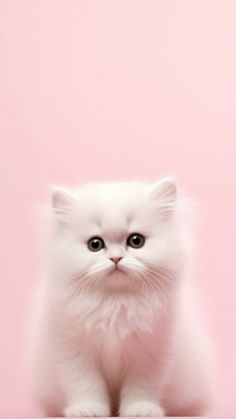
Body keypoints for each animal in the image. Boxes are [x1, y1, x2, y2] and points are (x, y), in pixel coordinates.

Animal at [30, 177, 213, 416]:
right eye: (95, 244)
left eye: (136, 241)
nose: (116, 258)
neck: (116, 302)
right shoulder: (73, 349)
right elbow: (84, 384)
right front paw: (88, 410)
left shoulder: (151, 351)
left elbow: (142, 387)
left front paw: (141, 410)